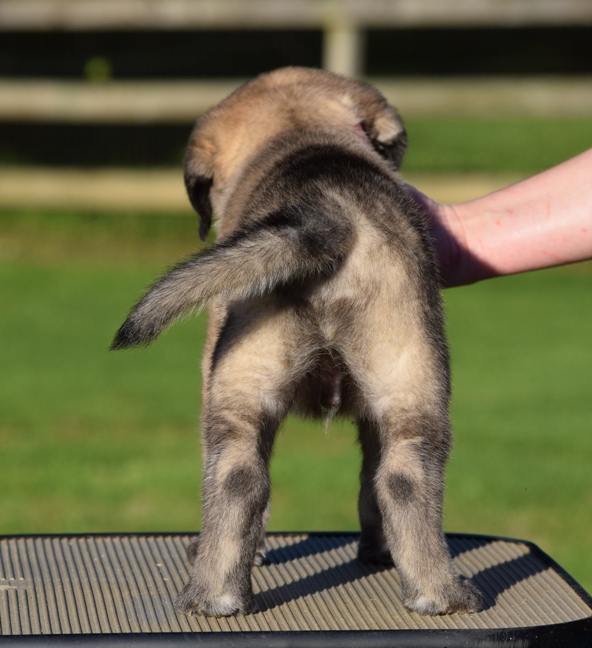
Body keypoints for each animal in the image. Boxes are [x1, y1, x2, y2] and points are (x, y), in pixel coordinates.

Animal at [111, 67, 482, 618]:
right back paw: (439, 595)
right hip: (409, 378)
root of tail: (328, 215)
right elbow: (370, 486)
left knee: (236, 478)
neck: (299, 131)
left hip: (242, 383)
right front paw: (379, 550)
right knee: (399, 478)